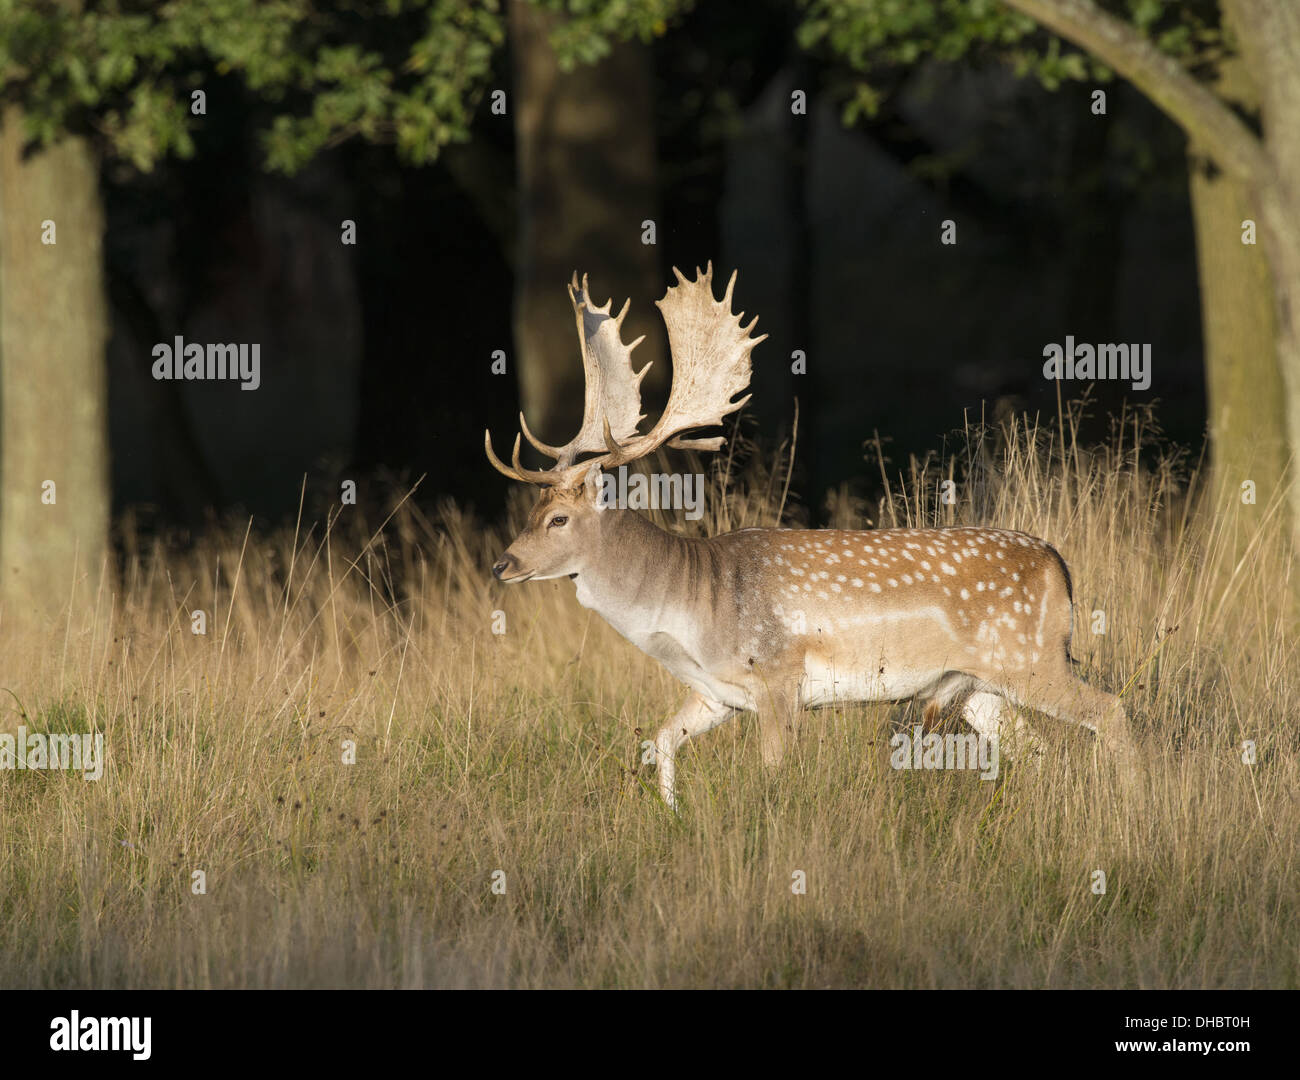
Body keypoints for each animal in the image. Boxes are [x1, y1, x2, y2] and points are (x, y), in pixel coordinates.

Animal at [486, 264, 1139, 810]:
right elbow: (661, 742)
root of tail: (1059, 565)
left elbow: (773, 773)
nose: (503, 564)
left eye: (559, 519)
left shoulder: (778, 675)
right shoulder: (717, 694)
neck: (692, 608)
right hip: (976, 686)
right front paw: (670, 814)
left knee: (1110, 709)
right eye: (535, 508)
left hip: (1032, 659)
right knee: (1039, 751)